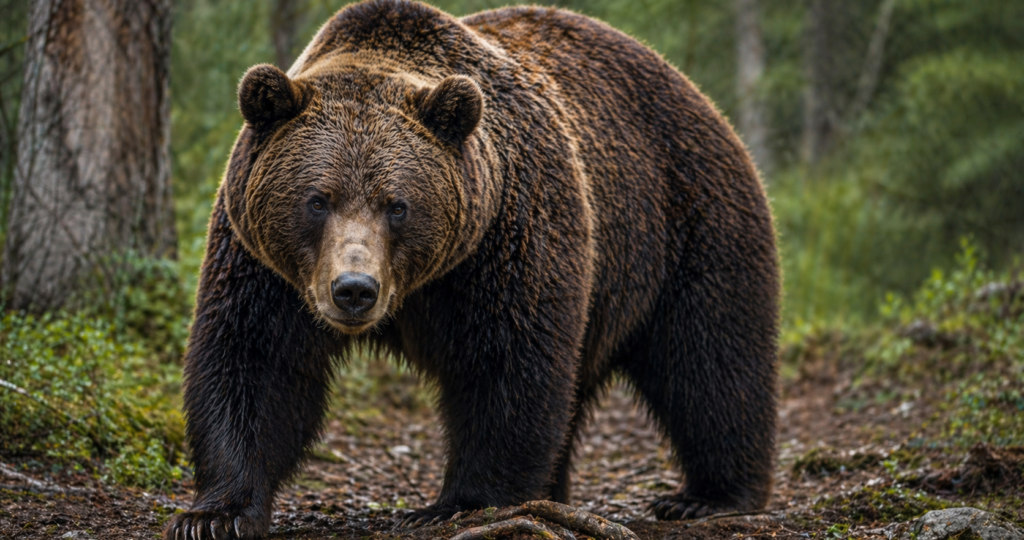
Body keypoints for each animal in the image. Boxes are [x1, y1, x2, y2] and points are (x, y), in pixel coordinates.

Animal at [164, 1, 780, 538]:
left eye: (396, 204)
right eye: (318, 200)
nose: (354, 290)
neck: (418, 285)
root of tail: (691, 89)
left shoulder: (507, 239)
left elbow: (505, 366)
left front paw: (457, 504)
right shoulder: (263, 262)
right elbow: (253, 362)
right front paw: (214, 514)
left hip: (685, 221)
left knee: (710, 360)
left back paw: (708, 496)